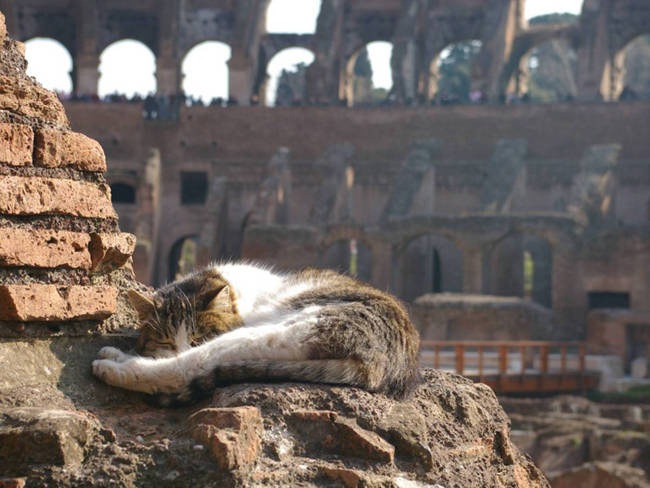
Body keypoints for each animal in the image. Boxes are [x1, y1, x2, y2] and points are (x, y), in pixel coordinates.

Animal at [93, 262, 422, 406]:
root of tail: (389, 368)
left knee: (187, 367)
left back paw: (114, 365)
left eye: (198, 335)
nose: (181, 346)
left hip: (279, 330)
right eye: (164, 340)